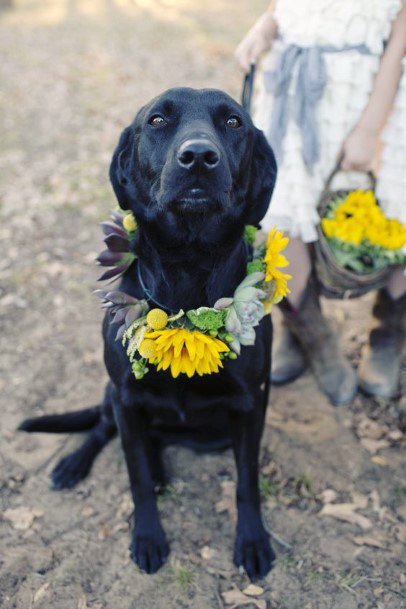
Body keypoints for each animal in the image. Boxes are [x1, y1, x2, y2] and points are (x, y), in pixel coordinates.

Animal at [20, 88, 278, 580]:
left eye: (233, 122)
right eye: (157, 120)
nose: (198, 157)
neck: (187, 275)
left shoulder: (251, 402)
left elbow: (247, 479)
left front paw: (254, 540)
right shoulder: (125, 395)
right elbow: (134, 473)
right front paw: (147, 537)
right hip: (114, 397)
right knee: (106, 428)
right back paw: (73, 464)